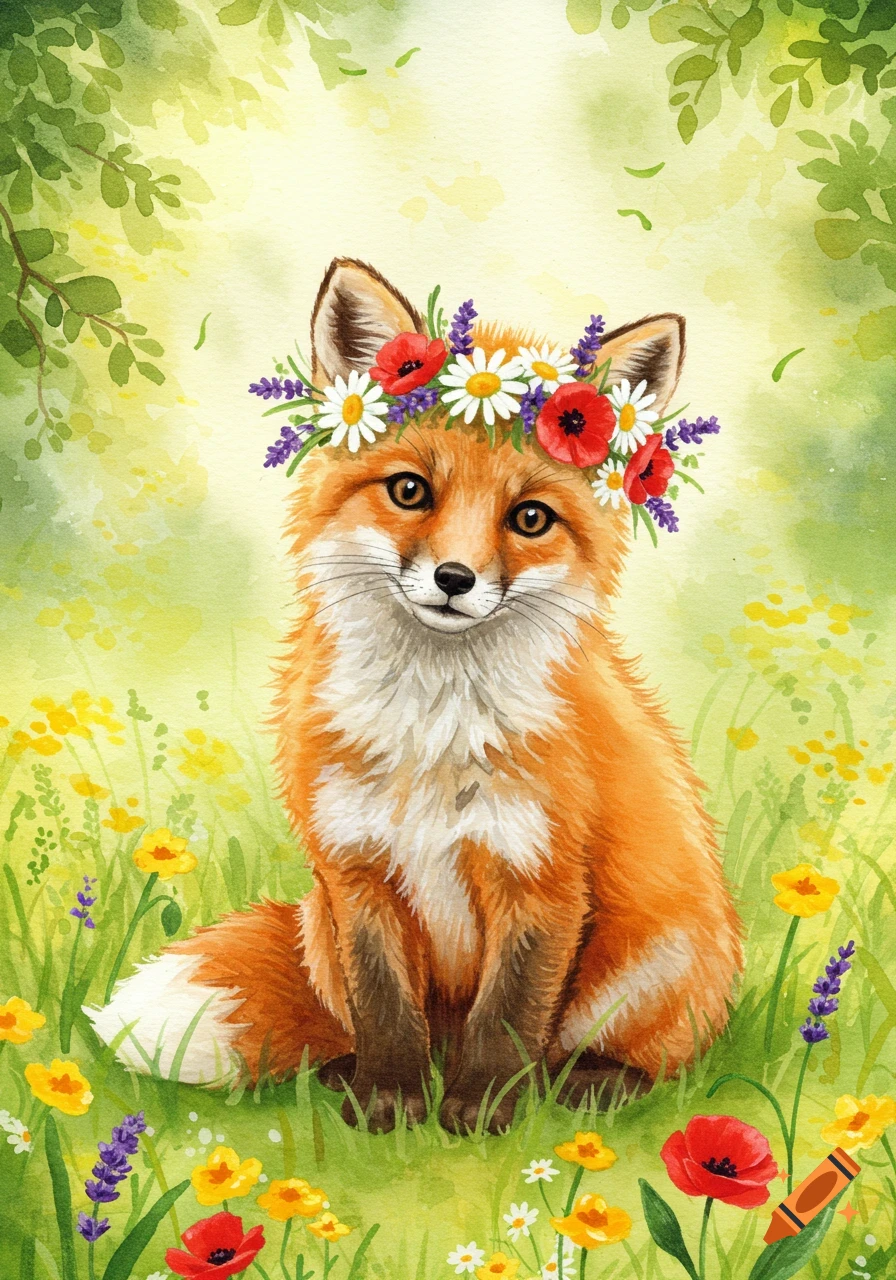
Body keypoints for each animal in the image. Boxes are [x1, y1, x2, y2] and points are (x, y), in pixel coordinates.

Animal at [88, 259, 742, 1134]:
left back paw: (586, 1085)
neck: (433, 732)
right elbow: (386, 1008)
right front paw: (388, 1106)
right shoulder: (355, 870)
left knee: (636, 1058)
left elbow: (507, 1017)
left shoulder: (540, 880)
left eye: (529, 517)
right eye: (409, 491)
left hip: (657, 959)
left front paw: (483, 1110)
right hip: (319, 927)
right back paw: (346, 1076)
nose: (454, 579)